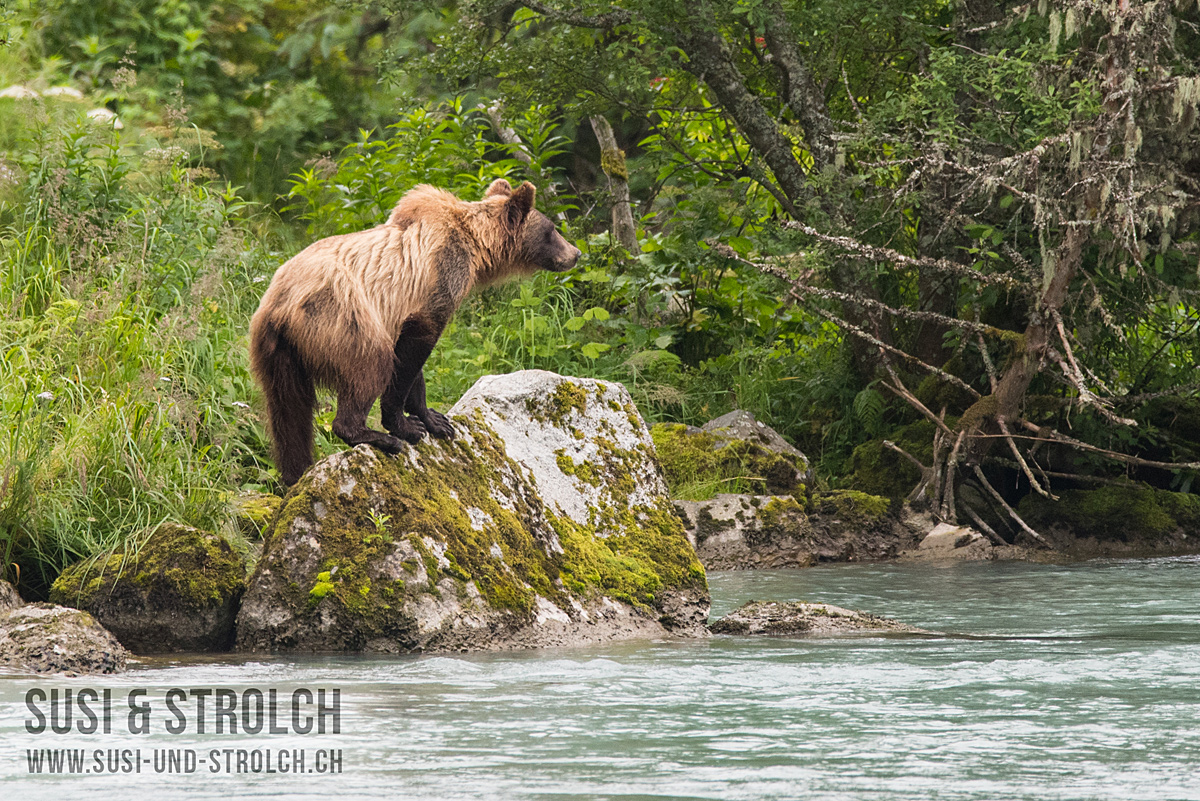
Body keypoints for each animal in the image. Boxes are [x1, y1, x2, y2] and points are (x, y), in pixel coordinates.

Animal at [249, 178, 580, 484]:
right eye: (552, 229)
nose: (575, 253)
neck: (474, 249)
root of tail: (279, 306)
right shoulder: (435, 284)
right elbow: (409, 356)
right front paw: (407, 426)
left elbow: (414, 366)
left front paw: (434, 419)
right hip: (341, 319)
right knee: (371, 366)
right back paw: (375, 437)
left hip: (277, 354)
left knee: (289, 414)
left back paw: (296, 472)